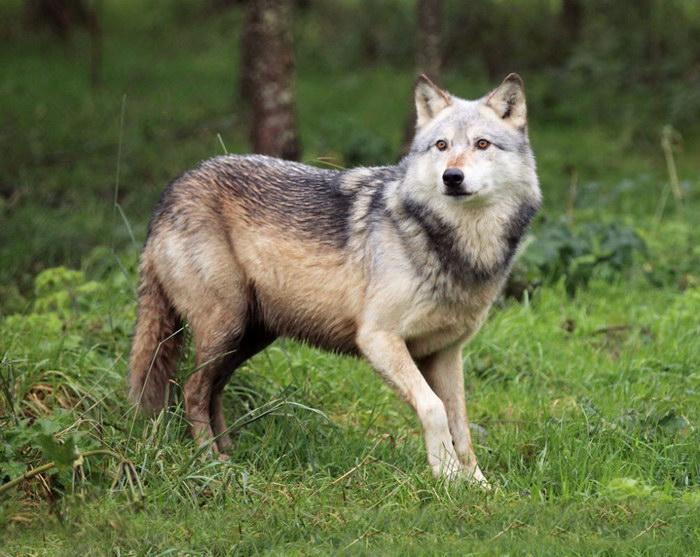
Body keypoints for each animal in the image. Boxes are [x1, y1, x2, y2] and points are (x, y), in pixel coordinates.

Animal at [128, 74, 541, 484]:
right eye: (441, 145)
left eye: (481, 143)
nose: (452, 177)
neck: (453, 244)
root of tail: (168, 194)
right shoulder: (377, 339)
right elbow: (433, 407)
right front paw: (445, 475)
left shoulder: (446, 353)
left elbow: (462, 425)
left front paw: (478, 485)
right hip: (225, 329)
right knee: (191, 389)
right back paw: (209, 462)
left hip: (247, 337)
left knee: (212, 390)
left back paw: (229, 453)